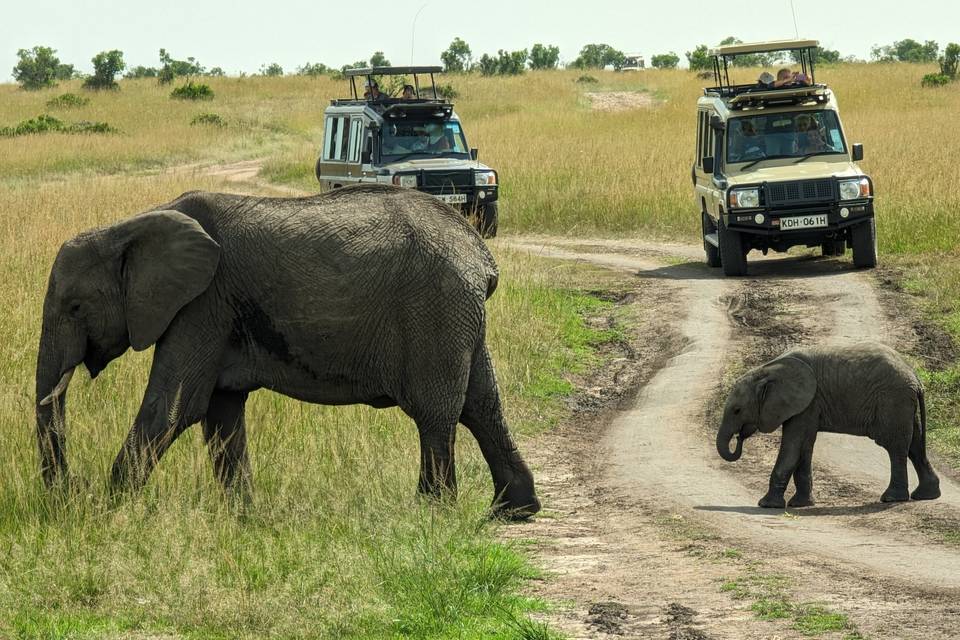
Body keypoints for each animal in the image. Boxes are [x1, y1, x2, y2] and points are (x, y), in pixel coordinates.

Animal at [35, 181, 540, 520]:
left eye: (76, 306)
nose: (70, 492)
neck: (130, 227)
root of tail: (479, 253)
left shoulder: (202, 305)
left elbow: (174, 408)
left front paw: (107, 512)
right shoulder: (211, 313)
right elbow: (220, 415)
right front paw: (243, 520)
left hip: (435, 308)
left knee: (437, 412)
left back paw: (432, 514)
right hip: (457, 317)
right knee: (482, 405)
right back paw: (513, 512)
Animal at [716, 342, 940, 508]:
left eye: (737, 410)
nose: (740, 436)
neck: (766, 370)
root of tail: (915, 377)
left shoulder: (807, 402)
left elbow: (792, 447)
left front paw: (766, 505)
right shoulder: (806, 405)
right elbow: (804, 447)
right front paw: (801, 504)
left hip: (893, 401)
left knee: (895, 446)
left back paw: (891, 498)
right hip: (901, 404)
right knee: (915, 446)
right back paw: (925, 496)